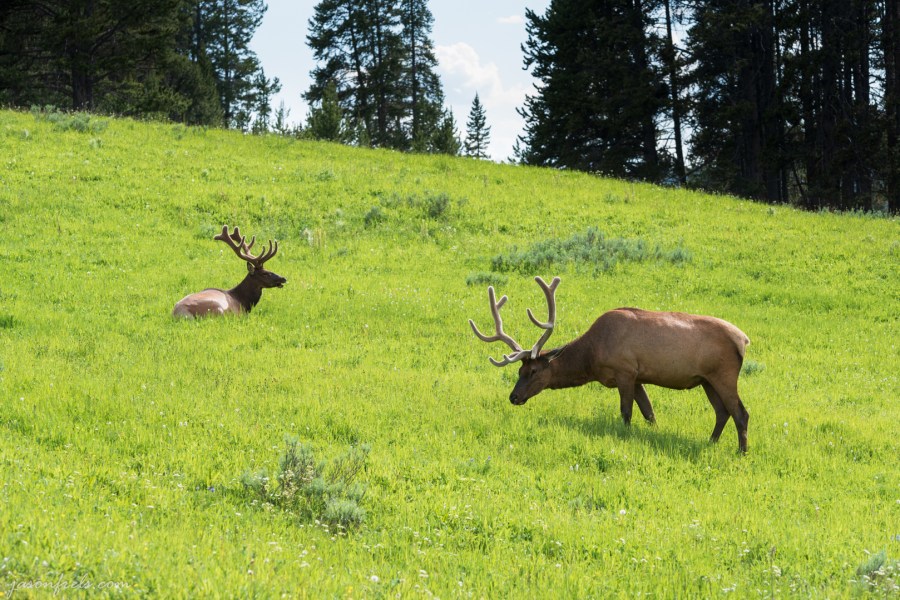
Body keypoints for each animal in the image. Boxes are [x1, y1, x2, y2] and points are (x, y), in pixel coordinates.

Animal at [469, 276, 752, 453]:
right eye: (519, 370)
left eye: (534, 370)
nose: (514, 397)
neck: (593, 358)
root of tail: (744, 340)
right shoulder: (638, 377)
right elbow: (649, 413)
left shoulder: (625, 371)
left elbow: (626, 413)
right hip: (707, 380)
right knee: (722, 412)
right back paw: (711, 442)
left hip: (724, 374)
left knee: (740, 413)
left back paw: (741, 452)